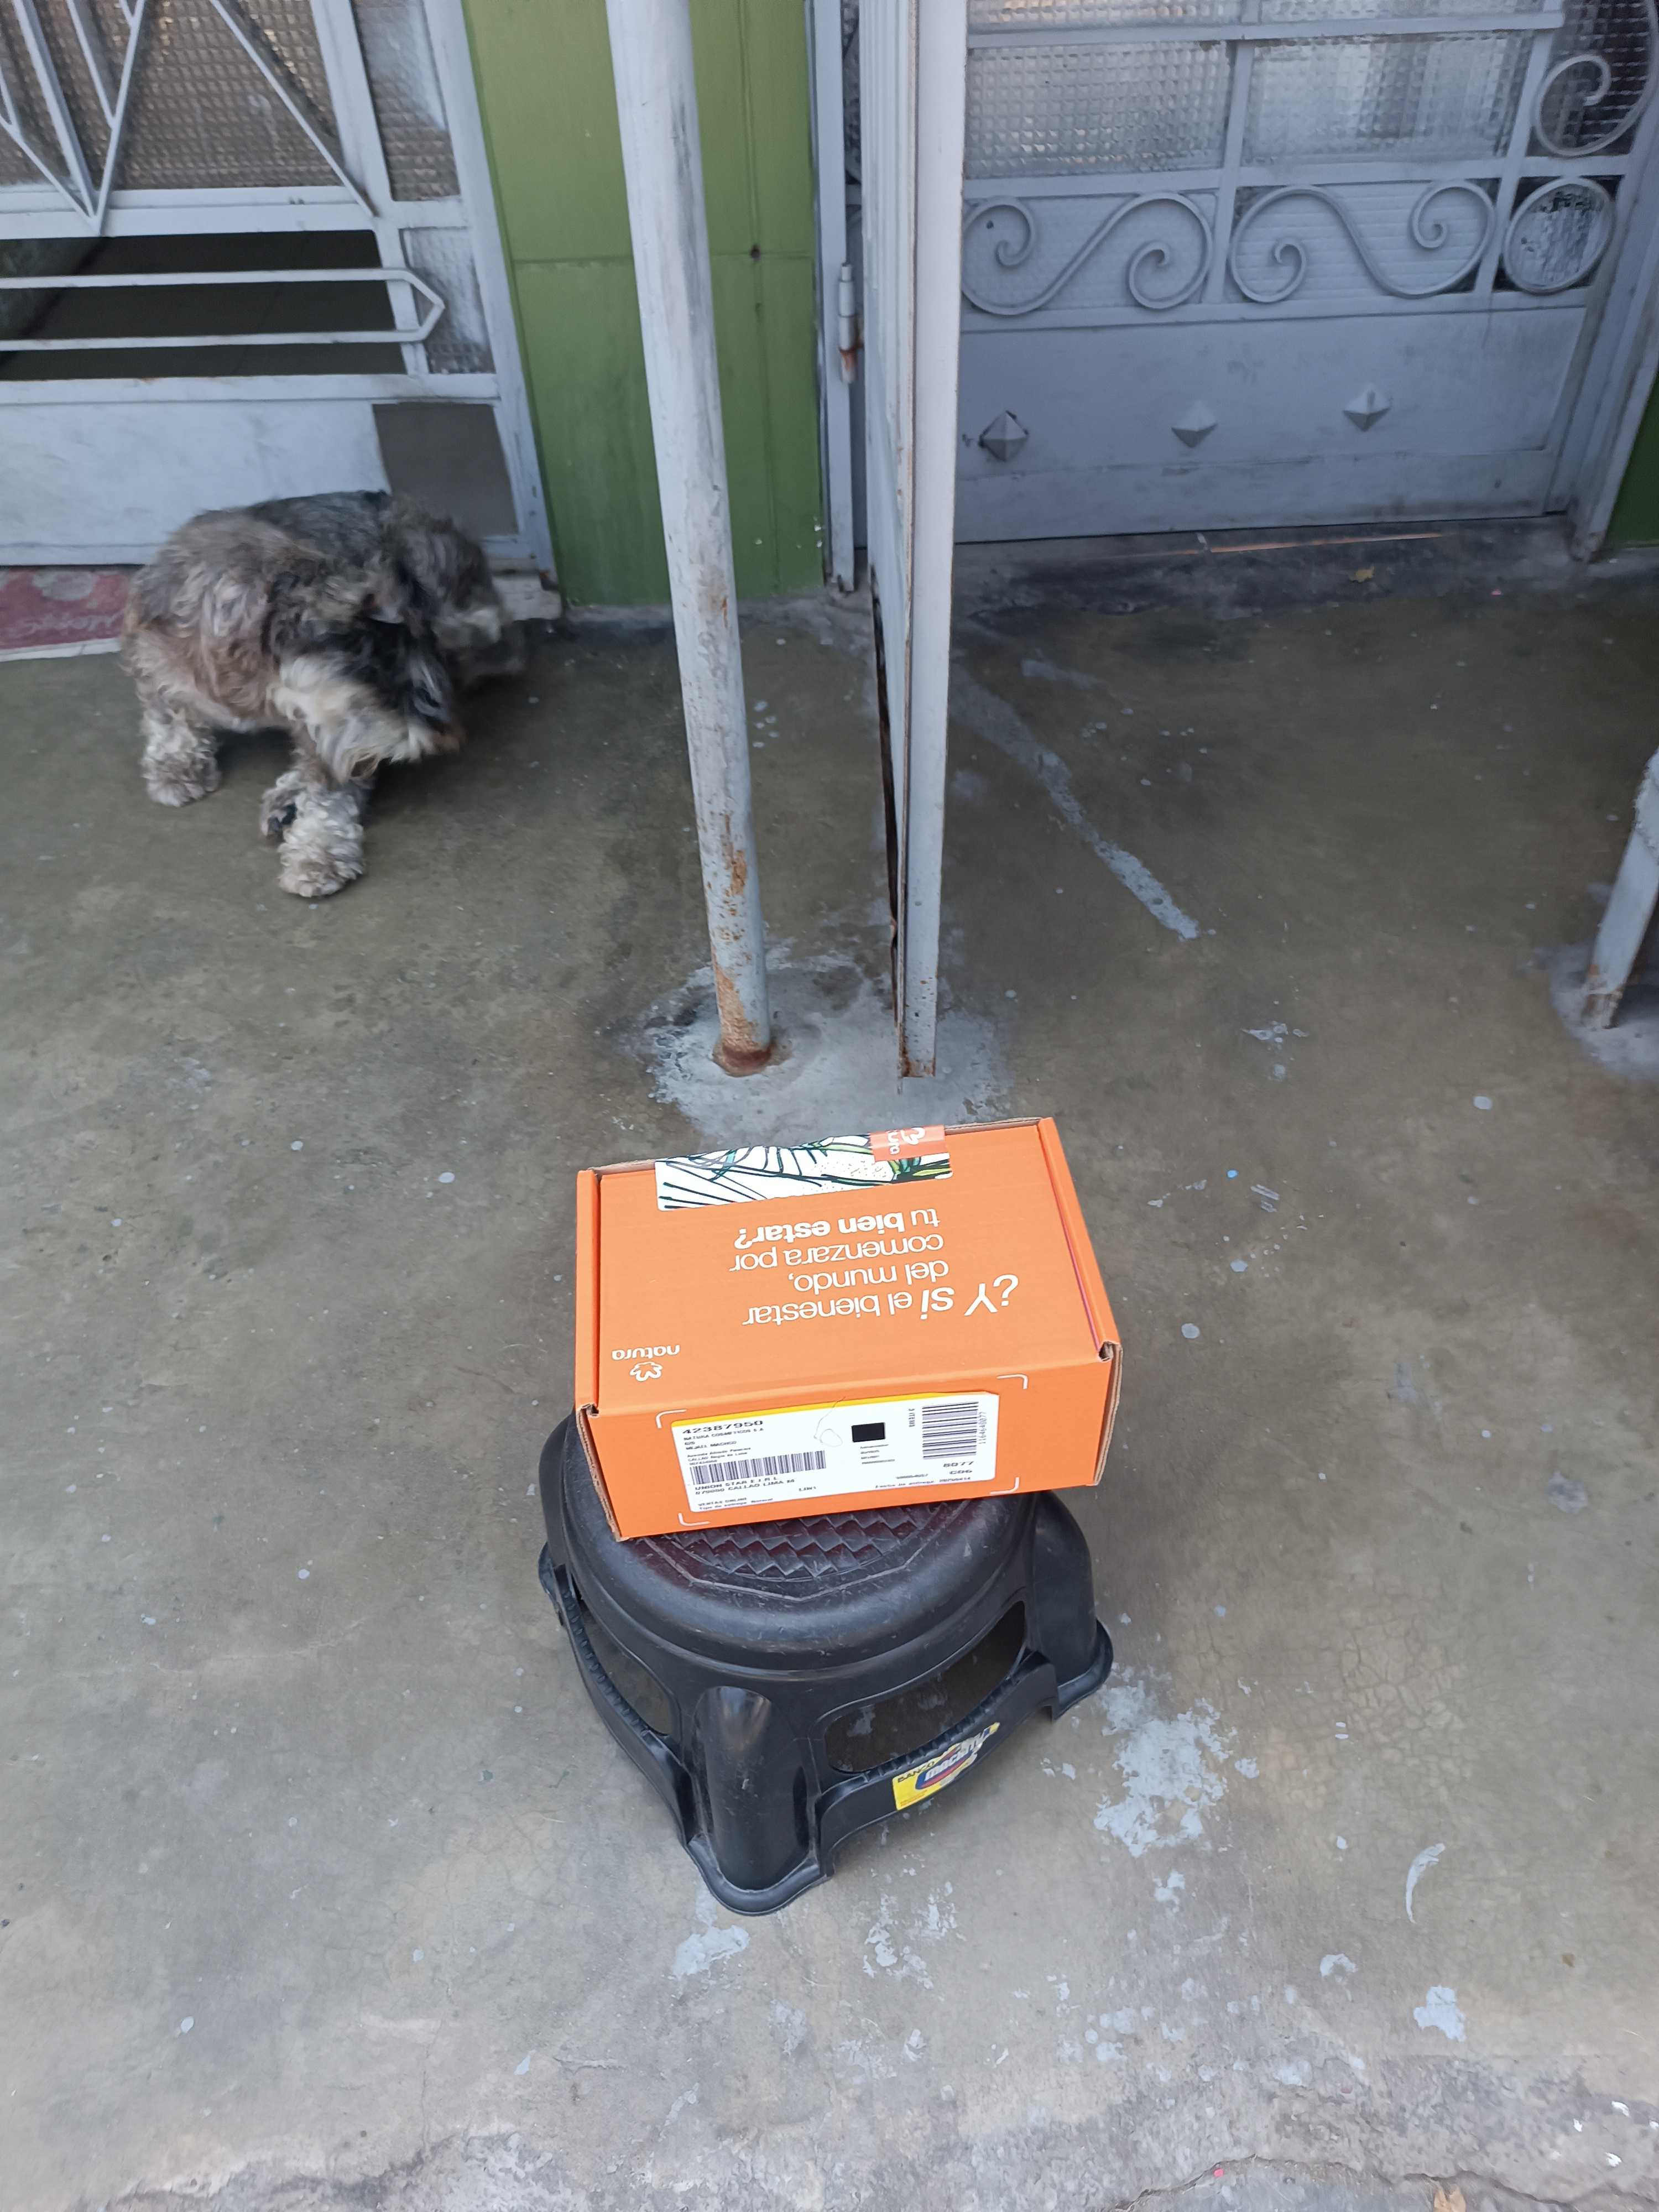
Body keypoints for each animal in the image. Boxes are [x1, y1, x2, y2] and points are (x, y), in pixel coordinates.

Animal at [124, 491, 522, 897]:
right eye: (375, 672)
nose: (444, 739)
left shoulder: (325, 722)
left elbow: (328, 786)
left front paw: (319, 853)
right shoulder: (155, 660)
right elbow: (168, 716)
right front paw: (175, 767)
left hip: (462, 616)